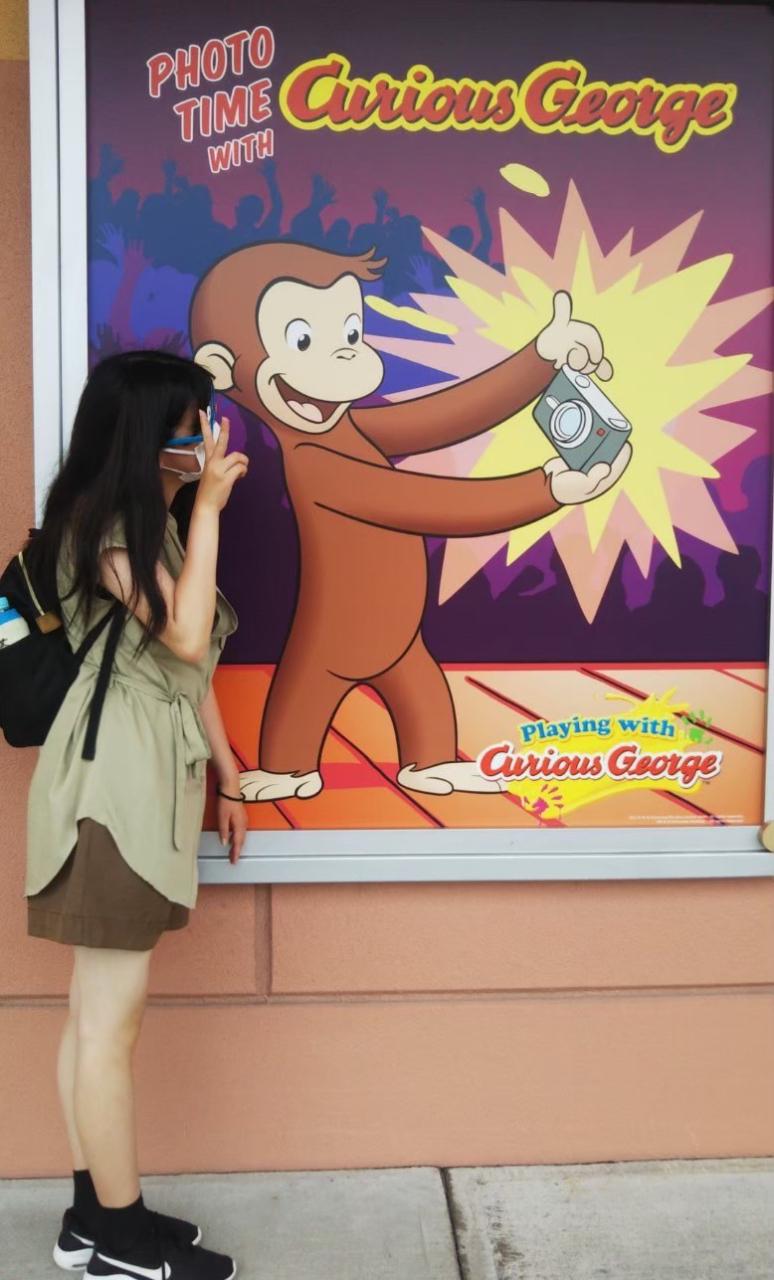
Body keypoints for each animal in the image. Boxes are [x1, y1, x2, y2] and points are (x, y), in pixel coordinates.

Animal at [190, 241, 630, 800]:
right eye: (301, 338)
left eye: (353, 330)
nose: (348, 356)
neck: (330, 432)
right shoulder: (328, 470)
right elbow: (422, 498)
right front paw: (566, 480)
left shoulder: (370, 422)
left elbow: (445, 412)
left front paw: (559, 341)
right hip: (312, 664)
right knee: (297, 707)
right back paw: (282, 778)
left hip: (410, 661)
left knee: (427, 699)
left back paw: (437, 770)